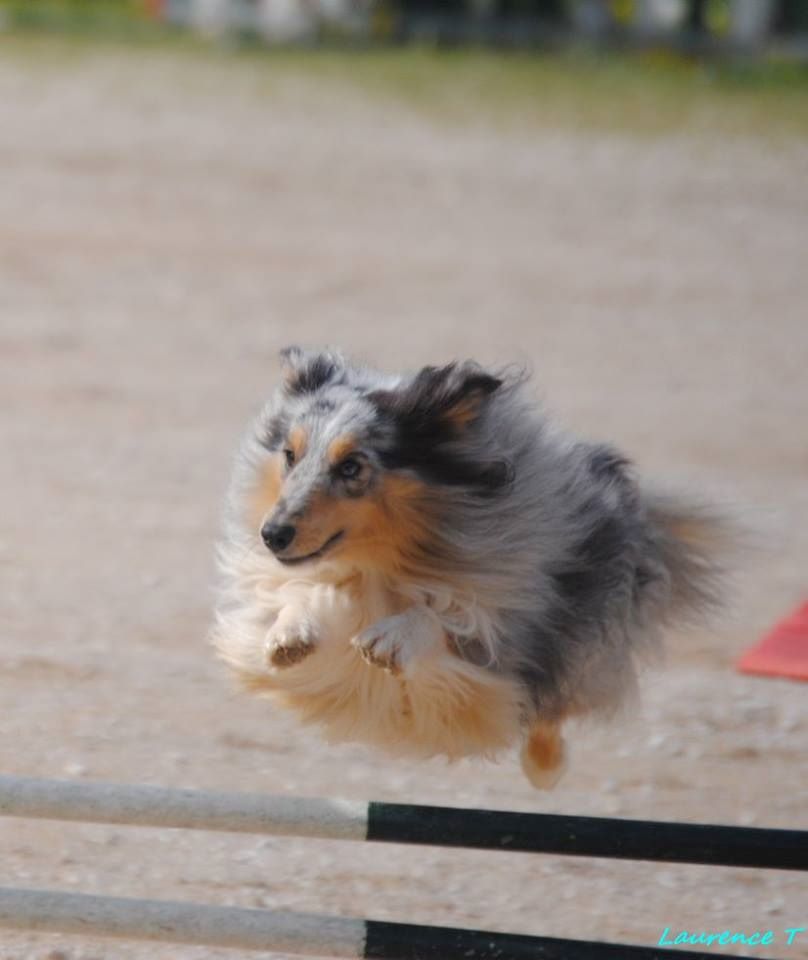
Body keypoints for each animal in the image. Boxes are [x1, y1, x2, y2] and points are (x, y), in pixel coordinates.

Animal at [211, 346, 728, 788]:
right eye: (290, 455)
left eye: (352, 466)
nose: (272, 534)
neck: (385, 565)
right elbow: (299, 590)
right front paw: (291, 634)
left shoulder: (499, 637)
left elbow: (452, 618)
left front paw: (391, 639)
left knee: (550, 706)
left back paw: (545, 765)